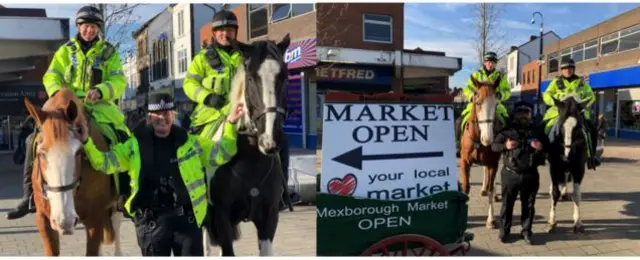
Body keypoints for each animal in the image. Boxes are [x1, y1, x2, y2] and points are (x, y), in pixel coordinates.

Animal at [460, 75, 504, 230]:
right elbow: (465, 188)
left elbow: (491, 187)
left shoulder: (493, 163)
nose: (488, 139)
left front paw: (491, 220)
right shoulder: (464, 162)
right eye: (478, 102)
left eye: (496, 105)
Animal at [544, 94, 592, 233]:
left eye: (577, 126)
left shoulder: (579, 169)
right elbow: (555, 193)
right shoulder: (554, 167)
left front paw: (578, 221)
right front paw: (552, 221)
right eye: (560, 125)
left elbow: (576, 195)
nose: (567, 155)